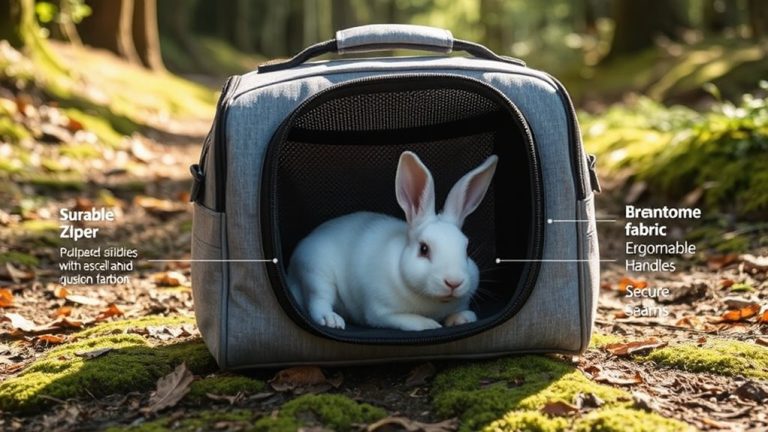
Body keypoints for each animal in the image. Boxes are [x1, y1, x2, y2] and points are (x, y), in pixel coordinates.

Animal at [286, 151, 498, 331]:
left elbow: (464, 313)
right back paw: (331, 320)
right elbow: (408, 320)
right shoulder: (381, 312)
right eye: (423, 249)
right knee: (318, 302)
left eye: (467, 250)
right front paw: (430, 325)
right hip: (316, 273)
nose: (454, 282)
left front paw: (462, 319)